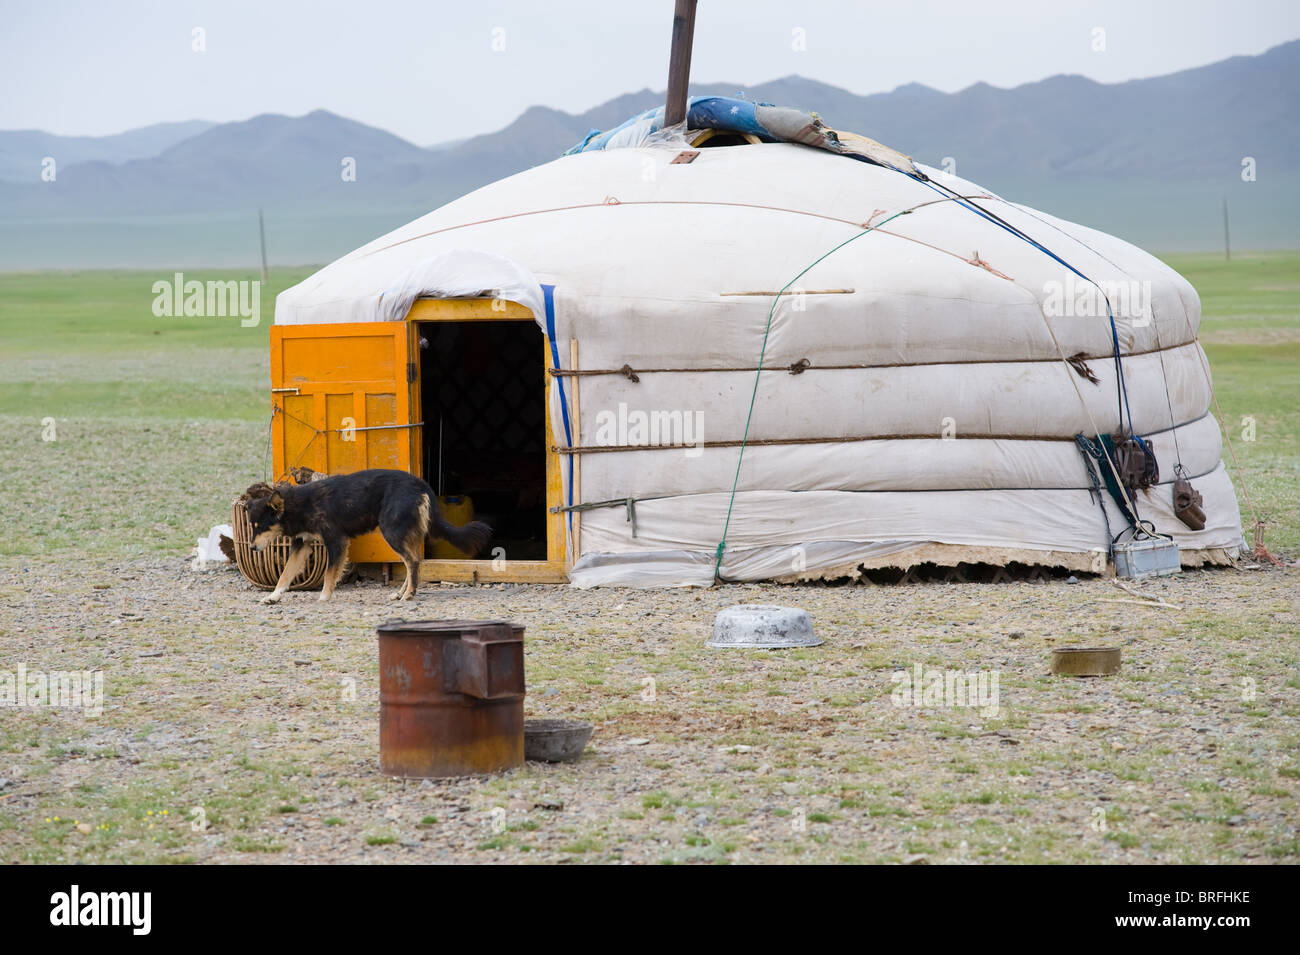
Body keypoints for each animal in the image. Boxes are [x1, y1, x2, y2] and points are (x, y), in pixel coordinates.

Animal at [241, 470, 488, 605]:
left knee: (412, 562)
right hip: (403, 534)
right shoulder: (302, 544)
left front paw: (324, 597)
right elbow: (285, 574)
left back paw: (409, 594)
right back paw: (402, 593)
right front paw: (274, 596)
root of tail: (420, 484)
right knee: (414, 563)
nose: (251, 548)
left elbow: (329, 574)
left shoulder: (336, 541)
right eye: (251, 527)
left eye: (261, 527)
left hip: (391, 532)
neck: (300, 505)